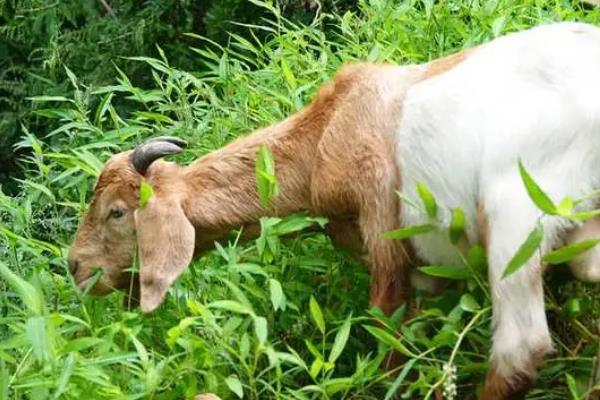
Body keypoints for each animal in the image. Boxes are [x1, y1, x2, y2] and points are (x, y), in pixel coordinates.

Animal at [70, 22, 600, 400]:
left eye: (117, 212)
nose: (75, 266)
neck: (323, 136)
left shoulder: (382, 228)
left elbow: (389, 338)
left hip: (516, 213)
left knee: (519, 349)